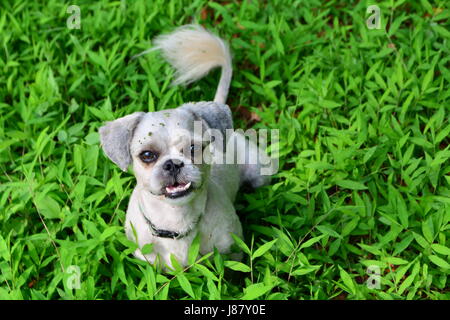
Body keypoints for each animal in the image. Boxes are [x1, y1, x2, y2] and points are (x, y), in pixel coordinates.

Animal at [99, 25, 270, 270]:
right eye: (147, 155)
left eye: (192, 149)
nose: (172, 164)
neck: (177, 221)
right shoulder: (148, 261)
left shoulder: (233, 252)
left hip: (260, 172)